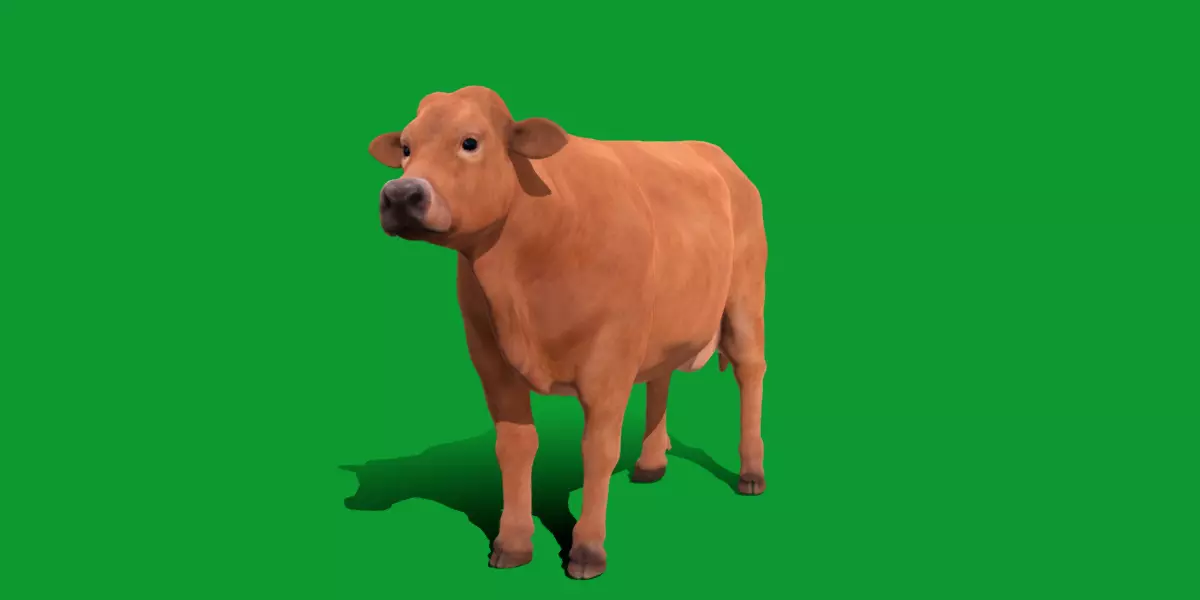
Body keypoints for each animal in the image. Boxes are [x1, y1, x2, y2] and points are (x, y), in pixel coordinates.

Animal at [368, 85, 767, 580]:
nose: (400, 194)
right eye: (406, 148)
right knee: (661, 376)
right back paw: (651, 464)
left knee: (750, 371)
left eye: (470, 142)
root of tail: (713, 153)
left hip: (745, 296)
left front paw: (587, 550)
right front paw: (512, 544)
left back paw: (751, 473)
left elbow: (598, 450)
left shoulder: (609, 358)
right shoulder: (488, 356)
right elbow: (515, 446)